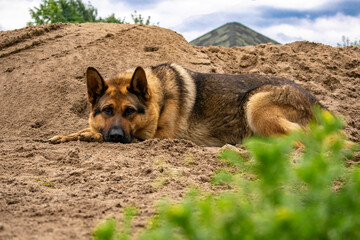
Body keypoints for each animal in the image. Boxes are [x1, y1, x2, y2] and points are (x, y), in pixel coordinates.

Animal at [49, 62, 320, 147]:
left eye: (130, 111)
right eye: (107, 110)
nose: (115, 136)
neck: (159, 100)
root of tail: (317, 102)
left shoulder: (159, 137)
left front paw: (89, 136)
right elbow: (85, 127)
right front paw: (68, 135)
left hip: (255, 105)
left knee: (299, 143)